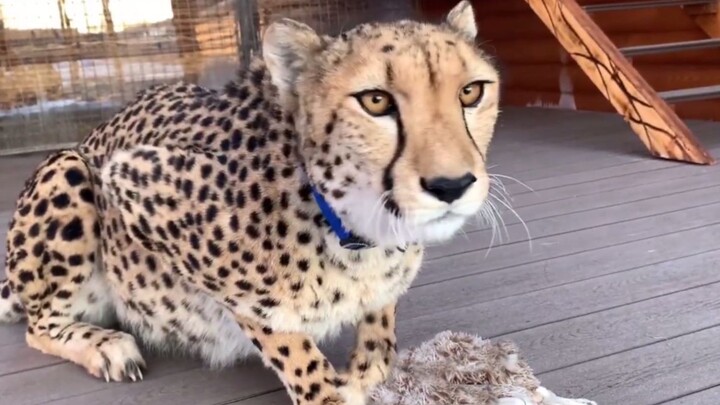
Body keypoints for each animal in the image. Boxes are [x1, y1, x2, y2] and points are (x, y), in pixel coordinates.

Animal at [0, 2, 500, 404]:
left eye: (471, 91)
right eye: (376, 101)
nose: (452, 185)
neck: (352, 229)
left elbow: (381, 318)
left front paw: (367, 369)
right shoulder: (130, 180)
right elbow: (283, 334)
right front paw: (328, 390)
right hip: (69, 168)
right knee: (38, 325)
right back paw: (106, 347)